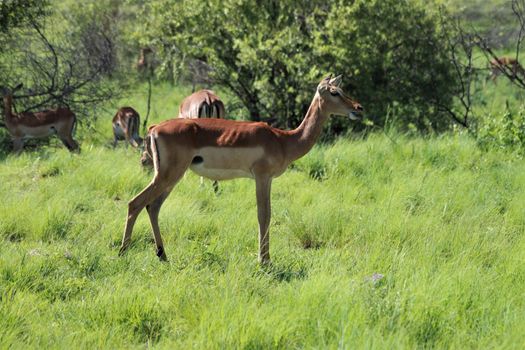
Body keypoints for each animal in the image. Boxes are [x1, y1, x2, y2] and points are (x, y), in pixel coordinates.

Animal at [120, 75, 362, 264]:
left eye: (341, 90)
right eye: (334, 92)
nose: (358, 108)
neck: (283, 140)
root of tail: (155, 128)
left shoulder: (267, 179)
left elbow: (266, 214)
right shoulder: (262, 177)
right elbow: (264, 215)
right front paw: (264, 260)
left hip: (171, 177)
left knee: (153, 207)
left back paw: (162, 255)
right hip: (168, 175)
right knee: (135, 203)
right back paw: (123, 251)